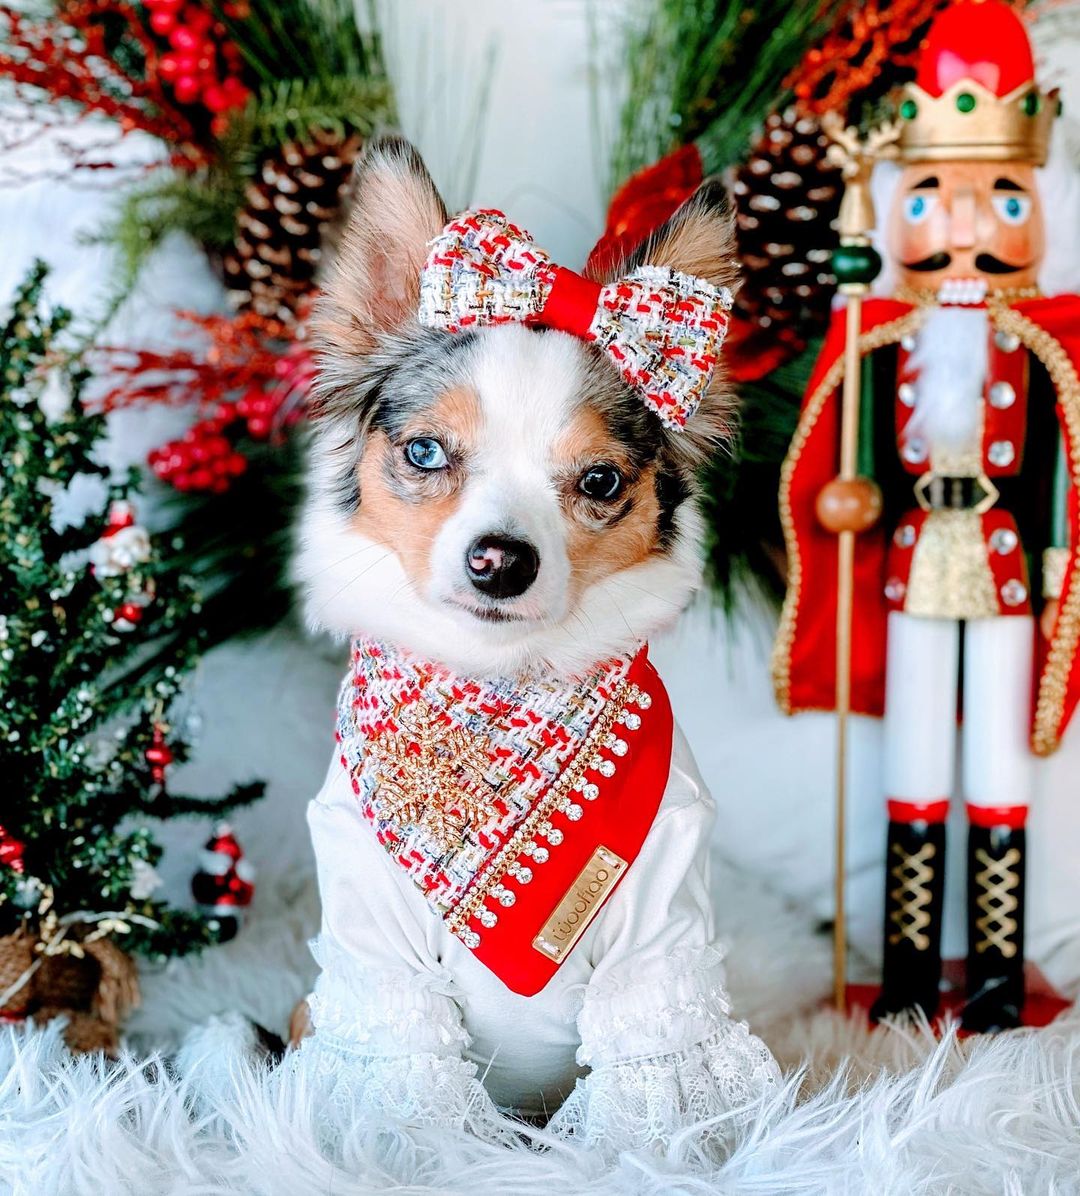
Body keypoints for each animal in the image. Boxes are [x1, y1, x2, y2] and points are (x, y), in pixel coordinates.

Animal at [291, 135, 779, 1152]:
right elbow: (404, 1090)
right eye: (426, 453)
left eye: (599, 481)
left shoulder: (659, 952)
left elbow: (653, 1094)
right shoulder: (374, 963)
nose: (500, 560)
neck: (501, 690)